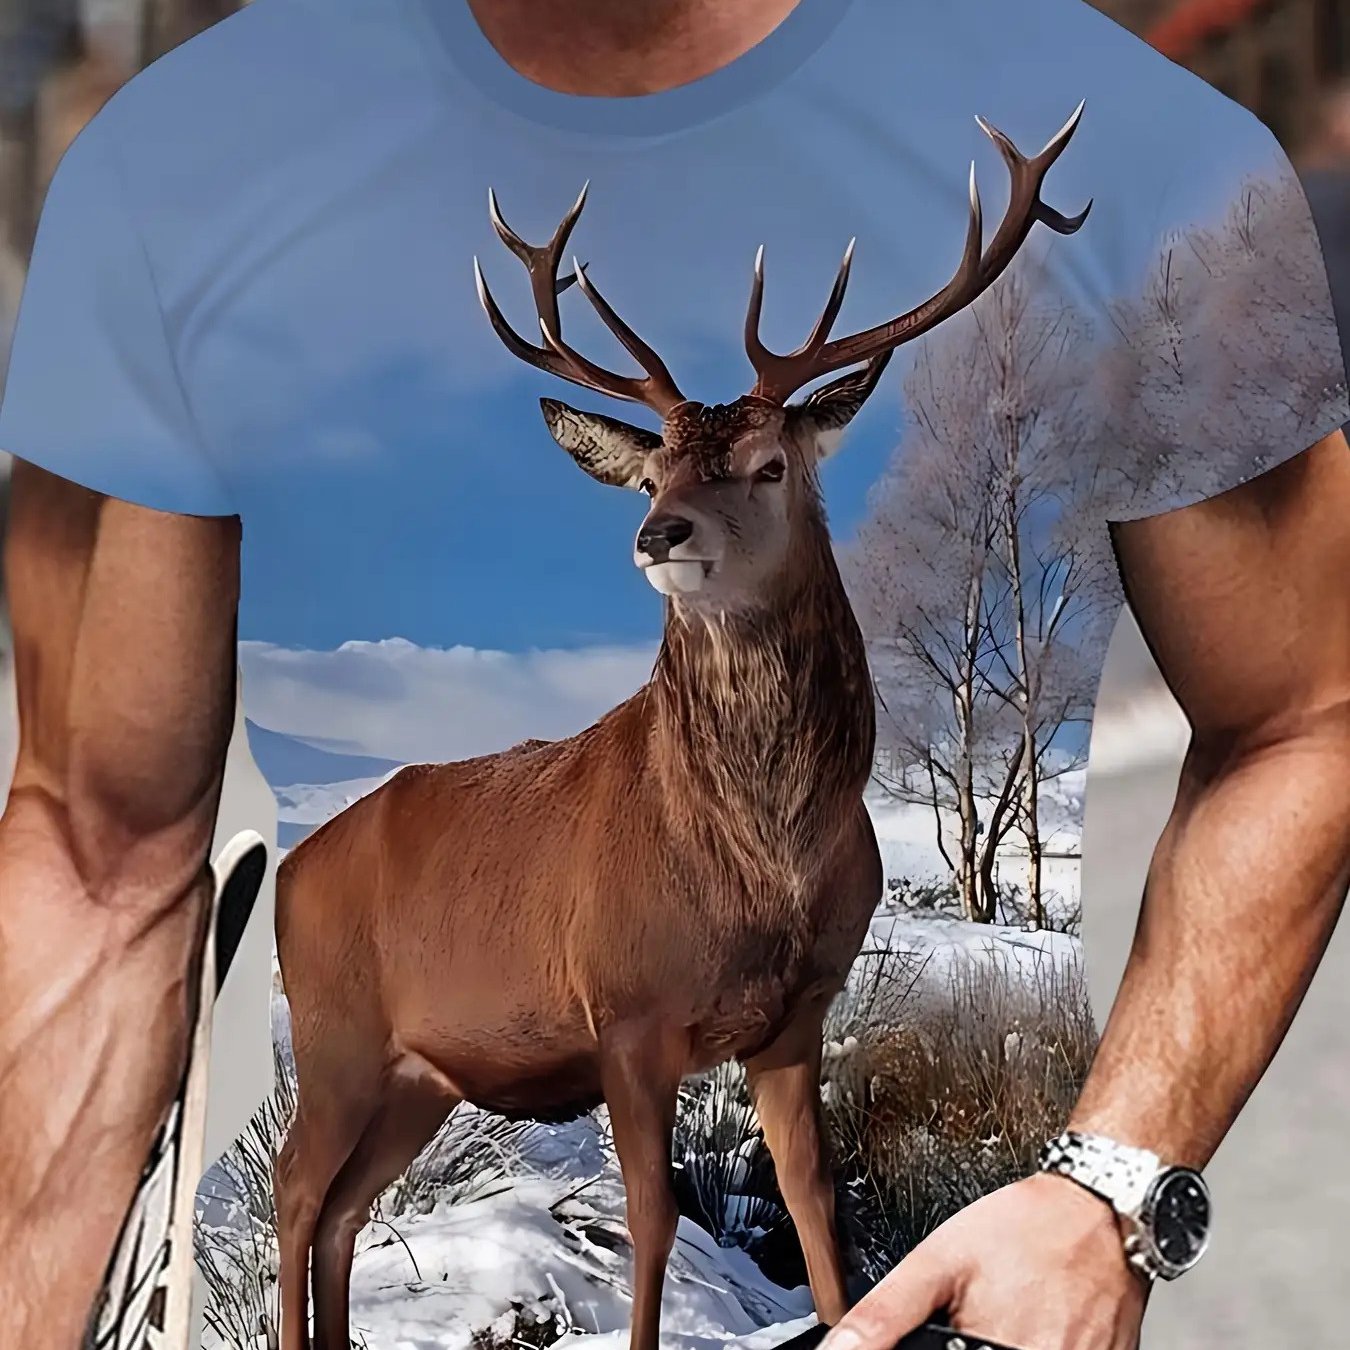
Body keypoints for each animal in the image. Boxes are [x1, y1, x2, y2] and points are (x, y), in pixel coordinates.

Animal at [272, 105, 1089, 1350]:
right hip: (335, 1032)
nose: (659, 533)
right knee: (291, 1190)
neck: (762, 863)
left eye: (770, 463)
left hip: (420, 1071)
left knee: (342, 1211)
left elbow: (812, 1196)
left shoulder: (798, 1015)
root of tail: (286, 871)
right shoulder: (627, 1011)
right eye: (649, 471)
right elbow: (653, 1218)